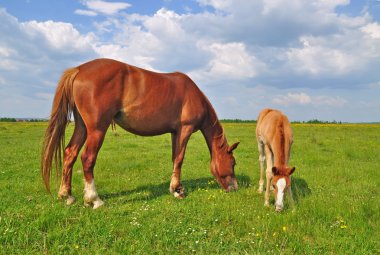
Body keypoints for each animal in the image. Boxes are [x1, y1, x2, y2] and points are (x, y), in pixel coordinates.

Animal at [40, 58, 238, 208]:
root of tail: (79, 70)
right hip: (97, 129)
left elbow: (175, 158)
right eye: (233, 163)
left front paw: (175, 189)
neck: (193, 95)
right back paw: (94, 199)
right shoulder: (185, 129)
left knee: (70, 154)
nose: (235, 188)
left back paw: (66, 195)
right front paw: (178, 190)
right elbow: (180, 159)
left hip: (82, 127)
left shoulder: (175, 132)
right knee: (87, 158)